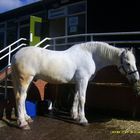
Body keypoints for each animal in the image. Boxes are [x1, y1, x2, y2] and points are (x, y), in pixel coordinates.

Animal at [10, 41, 139, 129]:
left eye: (135, 62)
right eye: (128, 63)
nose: (136, 78)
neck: (90, 56)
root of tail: (15, 55)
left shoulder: (78, 82)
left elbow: (76, 97)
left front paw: (75, 115)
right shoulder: (83, 80)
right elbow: (82, 99)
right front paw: (83, 120)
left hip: (21, 81)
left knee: (22, 97)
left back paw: (27, 118)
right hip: (25, 80)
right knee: (20, 98)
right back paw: (23, 123)